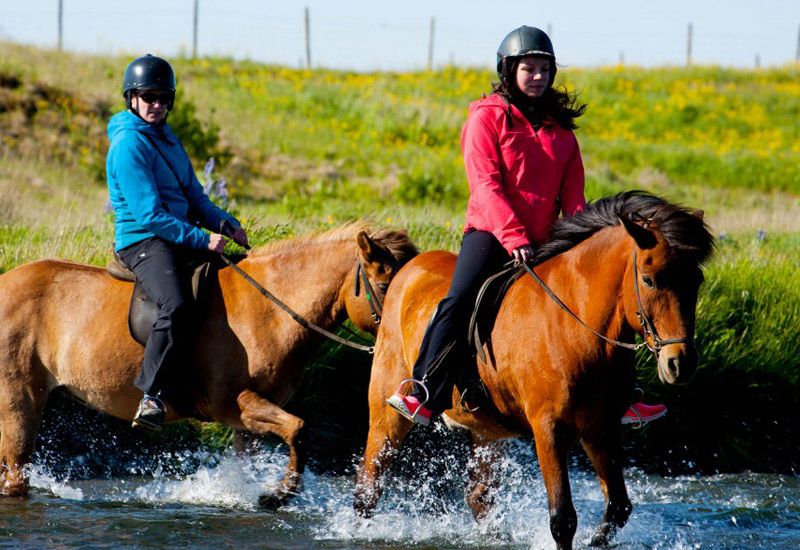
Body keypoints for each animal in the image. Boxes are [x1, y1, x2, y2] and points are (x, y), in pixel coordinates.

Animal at [0, 222, 418, 505]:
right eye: (385, 286)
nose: (406, 340)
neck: (269, 308)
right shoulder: (233, 403)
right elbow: (300, 429)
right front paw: (279, 495)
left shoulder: (248, 419)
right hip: (20, 400)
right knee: (15, 473)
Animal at [353, 191, 714, 549]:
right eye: (649, 280)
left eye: (697, 281)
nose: (680, 363)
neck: (576, 328)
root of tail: (408, 271)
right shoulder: (548, 428)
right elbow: (563, 519)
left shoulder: (601, 428)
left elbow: (618, 508)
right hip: (388, 413)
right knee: (369, 486)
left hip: (488, 430)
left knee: (479, 496)